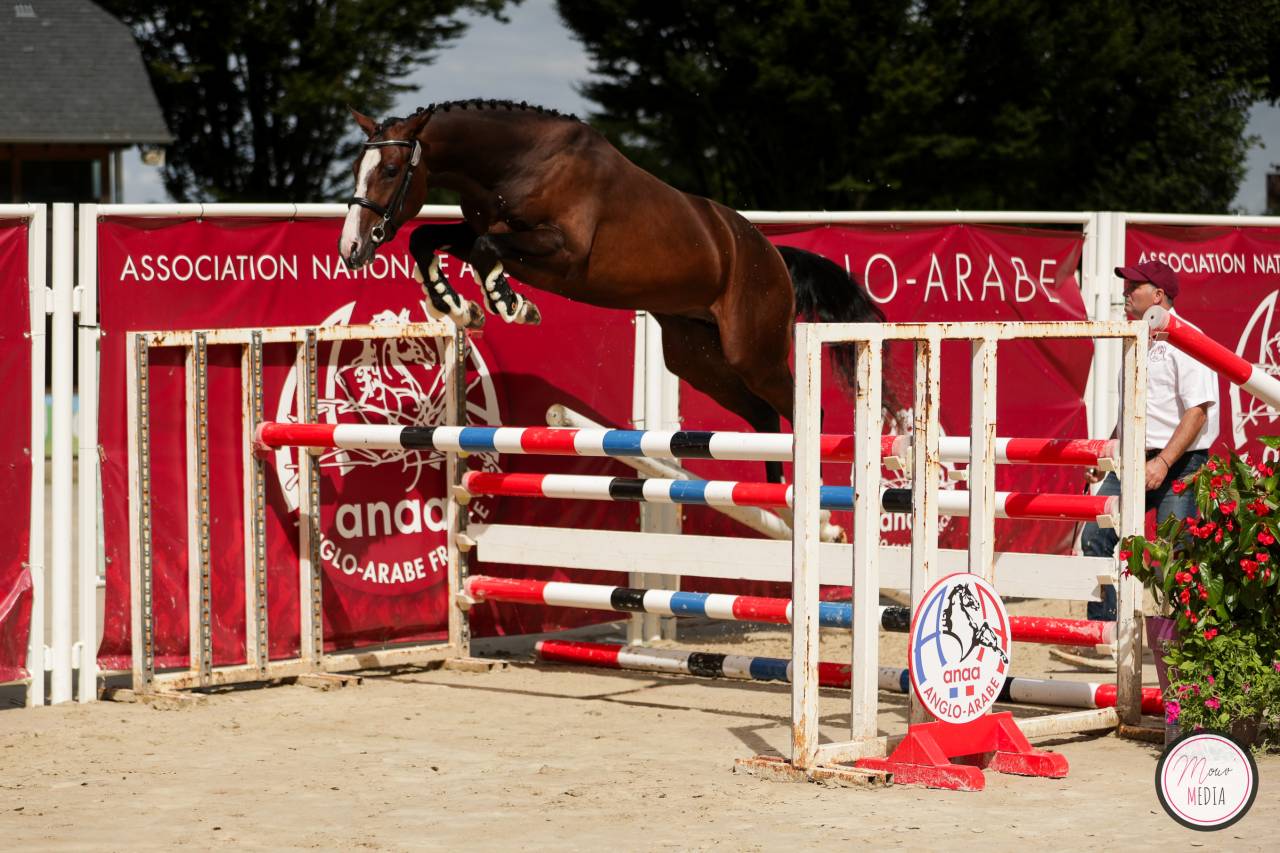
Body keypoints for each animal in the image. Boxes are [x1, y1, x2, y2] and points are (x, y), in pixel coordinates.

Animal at [339, 99, 887, 483]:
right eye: (355, 171)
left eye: (390, 171)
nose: (352, 249)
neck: (521, 162)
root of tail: (773, 254)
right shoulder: (486, 226)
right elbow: (432, 238)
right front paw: (459, 307)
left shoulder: (562, 252)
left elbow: (483, 247)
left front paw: (510, 304)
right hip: (697, 358)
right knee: (762, 415)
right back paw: (779, 500)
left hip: (753, 353)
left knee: (802, 411)